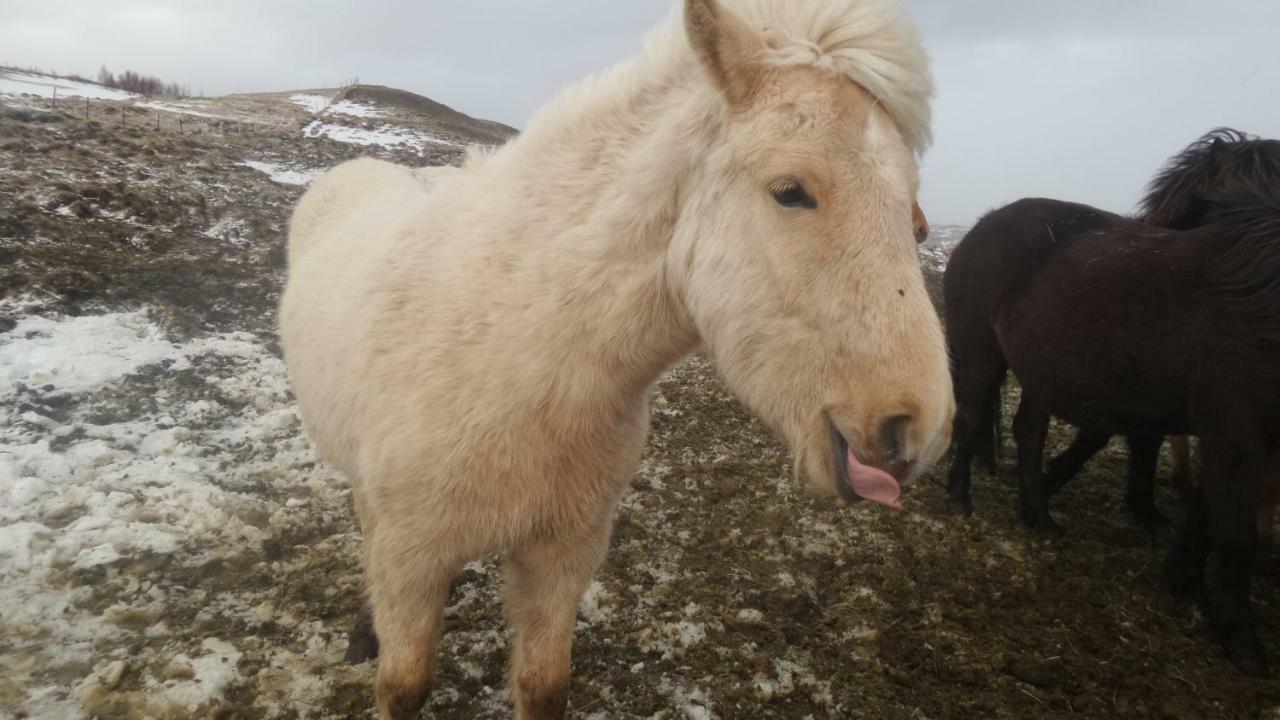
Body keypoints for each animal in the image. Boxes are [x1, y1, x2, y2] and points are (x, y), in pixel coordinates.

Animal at [280, 1, 952, 712]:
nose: (919, 427)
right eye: (790, 189)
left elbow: (543, 686)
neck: (522, 355)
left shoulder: (564, 553)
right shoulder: (412, 558)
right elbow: (404, 685)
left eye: (915, 221)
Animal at [942, 180, 1280, 671]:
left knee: (1029, 432)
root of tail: (981, 227)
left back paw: (1040, 517)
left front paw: (1183, 579)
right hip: (982, 352)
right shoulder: (1236, 434)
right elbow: (1236, 534)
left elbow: (1207, 508)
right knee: (969, 419)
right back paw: (959, 499)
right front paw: (1242, 640)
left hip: (1041, 372)